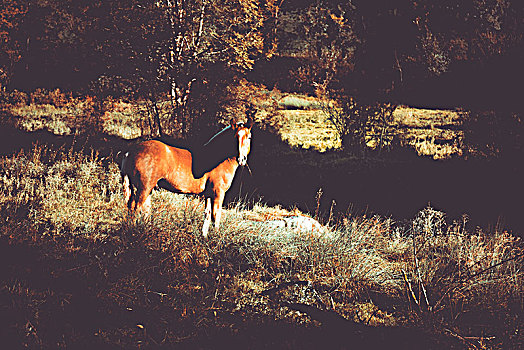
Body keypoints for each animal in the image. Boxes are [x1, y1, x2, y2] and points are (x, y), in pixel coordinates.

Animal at [121, 120, 252, 238]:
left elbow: (207, 214)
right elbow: (216, 215)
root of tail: (131, 152)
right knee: (136, 208)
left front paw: (204, 237)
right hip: (144, 188)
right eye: (235, 137)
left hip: (147, 189)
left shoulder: (208, 194)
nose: (242, 159)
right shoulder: (218, 192)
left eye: (249, 137)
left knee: (141, 209)